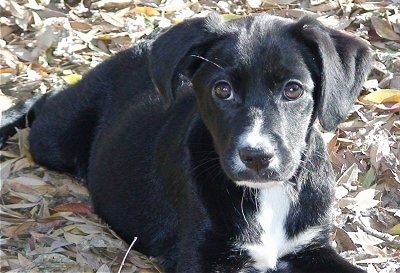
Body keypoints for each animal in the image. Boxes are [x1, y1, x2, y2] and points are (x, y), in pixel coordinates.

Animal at [0, 13, 370, 272]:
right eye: (222, 90)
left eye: (293, 90)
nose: (255, 157)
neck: (266, 196)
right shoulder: (200, 255)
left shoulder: (311, 246)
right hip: (54, 140)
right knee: (44, 101)